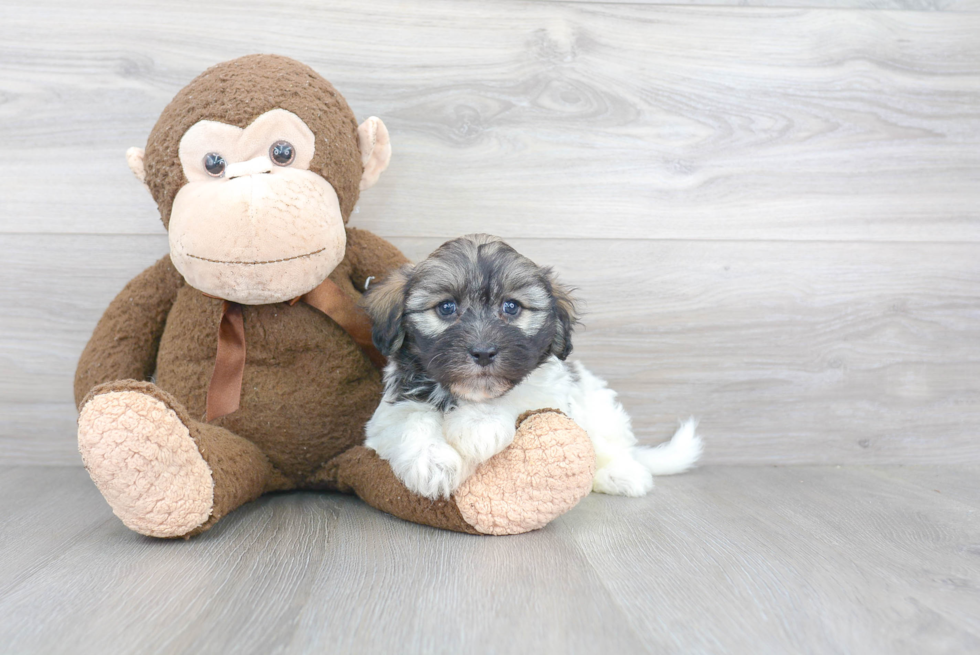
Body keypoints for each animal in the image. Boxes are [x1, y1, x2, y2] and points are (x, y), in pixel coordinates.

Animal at [360, 237, 704, 502]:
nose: (483, 352)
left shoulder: (548, 394)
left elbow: (519, 397)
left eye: (511, 307)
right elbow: (410, 419)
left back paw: (622, 473)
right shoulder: (386, 416)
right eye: (446, 308)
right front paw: (433, 463)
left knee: (608, 445)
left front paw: (479, 425)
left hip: (599, 409)